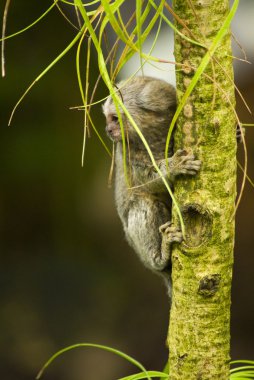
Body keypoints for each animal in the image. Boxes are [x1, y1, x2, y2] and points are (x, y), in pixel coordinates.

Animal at [102, 76, 200, 290]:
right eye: (108, 119)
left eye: (115, 118)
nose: (108, 130)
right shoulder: (129, 153)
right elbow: (148, 184)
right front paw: (174, 166)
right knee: (143, 205)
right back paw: (161, 256)